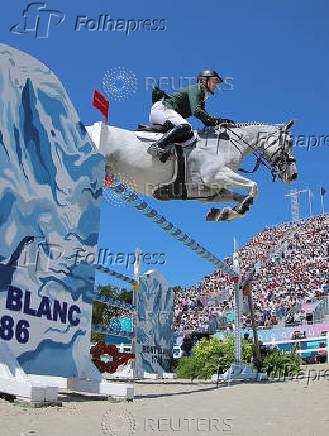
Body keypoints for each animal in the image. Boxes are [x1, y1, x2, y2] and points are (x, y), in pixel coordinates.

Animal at [86, 119, 296, 221]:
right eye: (289, 142)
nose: (293, 175)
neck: (230, 144)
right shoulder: (215, 175)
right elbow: (254, 186)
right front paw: (235, 210)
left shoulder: (209, 193)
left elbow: (241, 196)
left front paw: (225, 213)